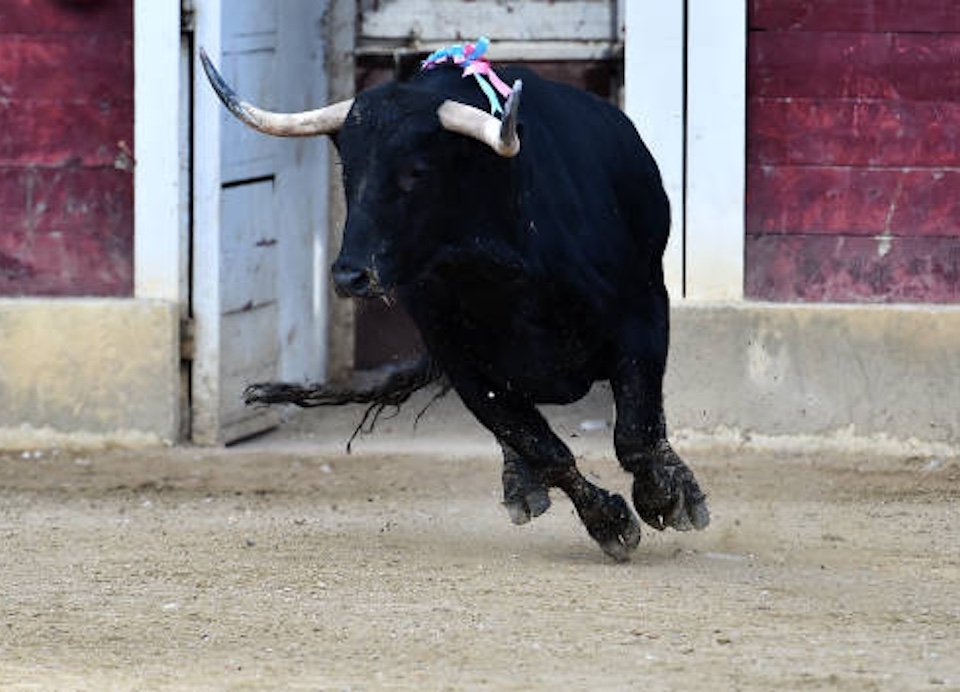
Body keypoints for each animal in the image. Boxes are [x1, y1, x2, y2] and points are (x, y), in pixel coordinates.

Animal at [202, 54, 708, 564]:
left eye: (416, 171)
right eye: (348, 170)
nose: (349, 275)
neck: (499, 268)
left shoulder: (641, 314)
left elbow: (636, 433)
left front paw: (667, 498)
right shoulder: (463, 364)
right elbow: (543, 448)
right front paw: (609, 522)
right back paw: (521, 484)